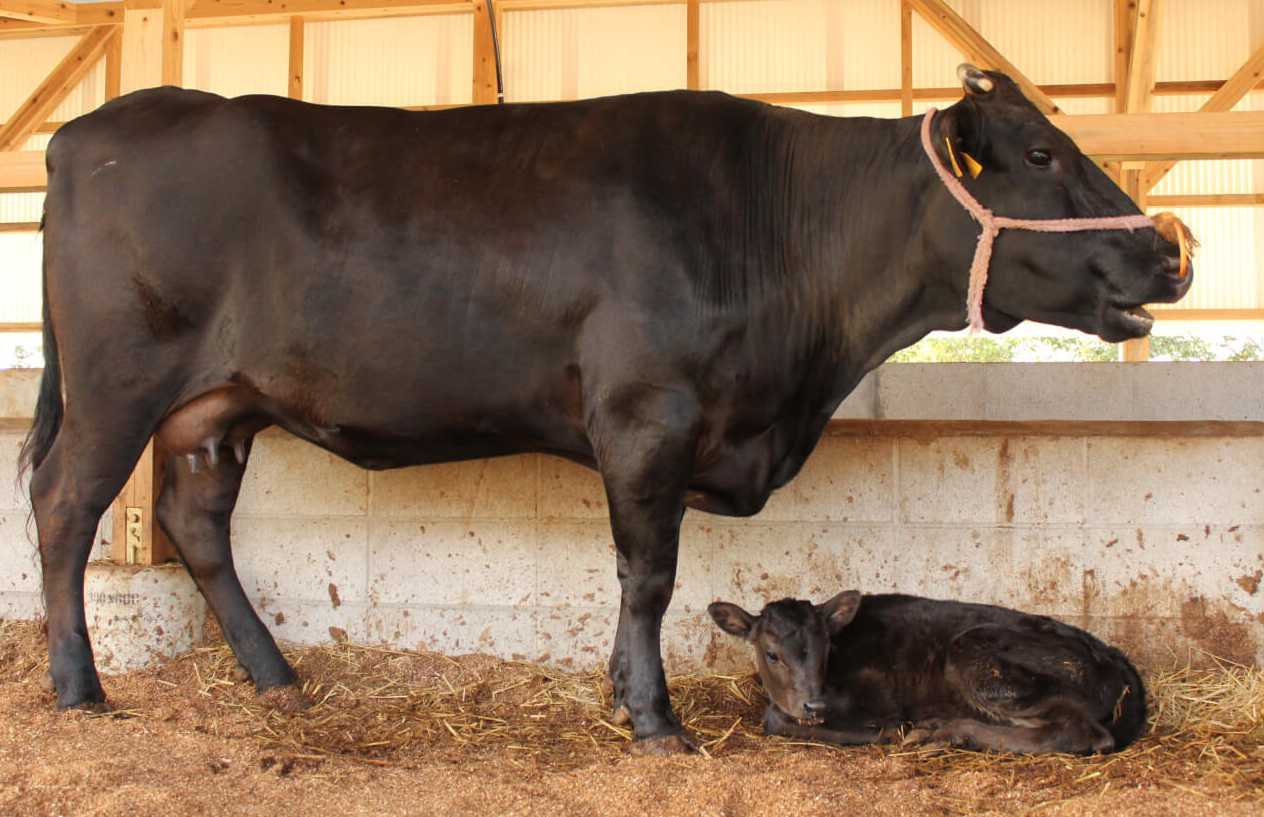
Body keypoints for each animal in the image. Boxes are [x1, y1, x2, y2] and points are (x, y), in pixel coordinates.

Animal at [712, 591, 1147, 758]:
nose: (814, 704)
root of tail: (1110, 651)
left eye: (825, 648)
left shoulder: (879, 702)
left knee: (1080, 730)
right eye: (772, 654)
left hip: (978, 657)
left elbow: (775, 719)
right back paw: (939, 728)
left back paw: (949, 732)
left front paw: (892, 732)